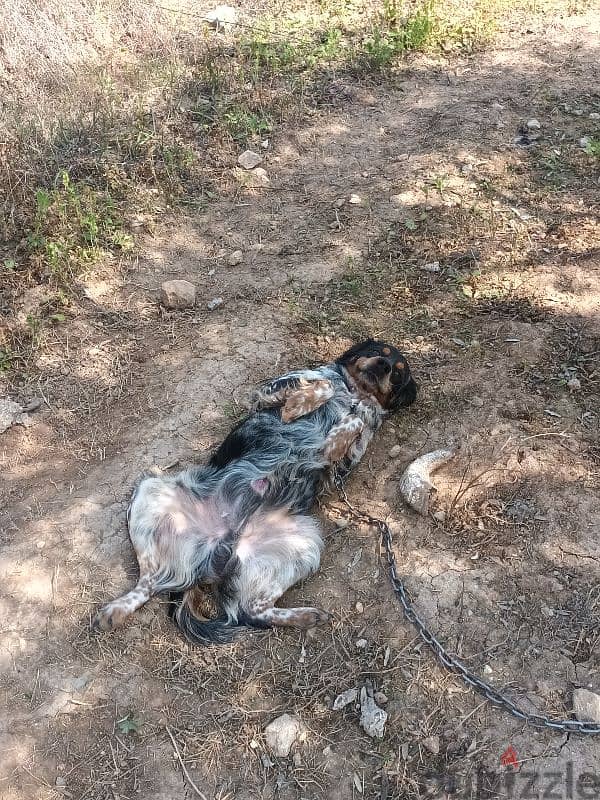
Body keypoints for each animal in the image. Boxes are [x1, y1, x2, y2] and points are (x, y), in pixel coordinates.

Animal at [94, 338, 418, 644]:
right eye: (378, 351)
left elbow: (359, 420)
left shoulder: (349, 457)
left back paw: (307, 616)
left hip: (304, 545)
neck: (353, 391)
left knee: (250, 610)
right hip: (150, 489)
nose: (383, 366)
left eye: (398, 372)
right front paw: (297, 407)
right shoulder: (268, 391)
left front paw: (337, 437)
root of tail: (216, 549)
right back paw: (114, 611)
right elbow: (321, 384)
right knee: (149, 581)